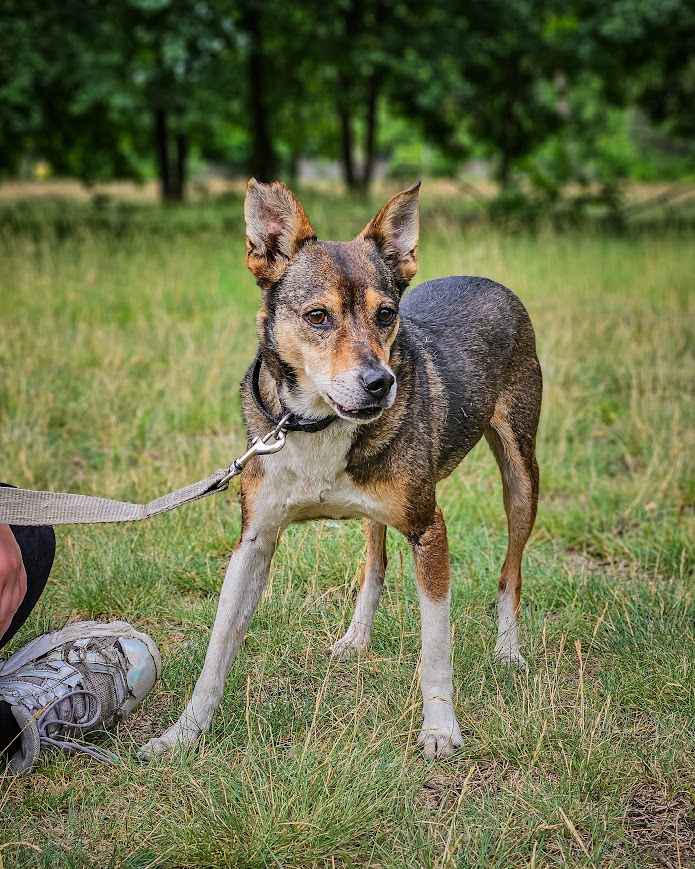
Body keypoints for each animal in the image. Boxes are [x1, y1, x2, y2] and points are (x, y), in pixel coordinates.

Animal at [140, 178, 544, 760]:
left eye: (386, 314)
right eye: (317, 317)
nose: (380, 383)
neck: (316, 424)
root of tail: (490, 282)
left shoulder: (429, 529)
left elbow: (435, 649)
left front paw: (440, 729)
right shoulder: (255, 539)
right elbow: (218, 646)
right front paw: (184, 732)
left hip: (520, 472)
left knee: (511, 570)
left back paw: (508, 650)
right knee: (375, 560)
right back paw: (357, 638)